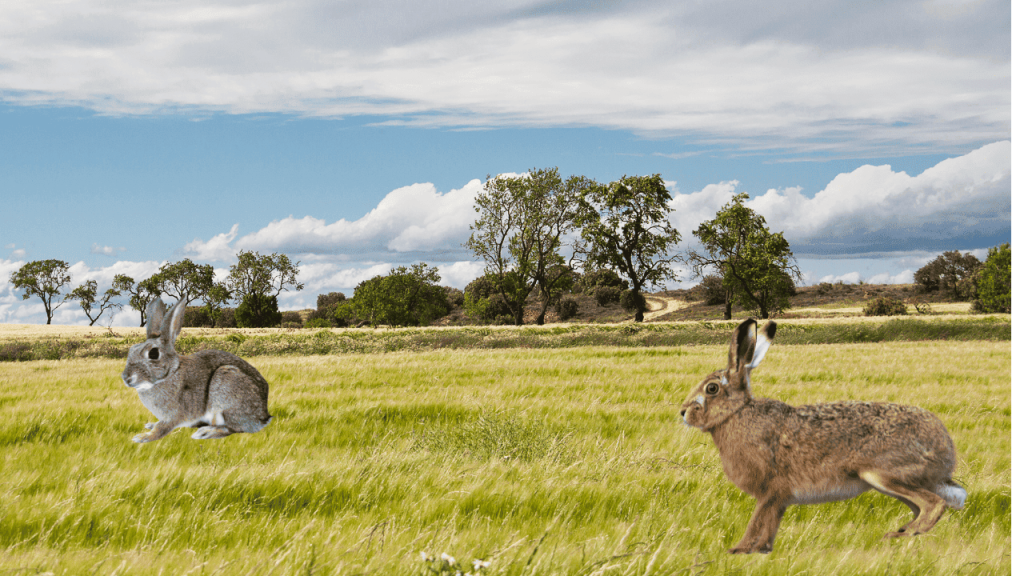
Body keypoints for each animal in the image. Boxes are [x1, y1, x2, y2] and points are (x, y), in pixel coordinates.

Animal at [121, 297, 272, 440]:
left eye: (153, 354)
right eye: (131, 349)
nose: (126, 378)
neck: (170, 374)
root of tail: (264, 414)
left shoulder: (175, 415)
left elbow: (162, 428)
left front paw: (143, 437)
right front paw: (149, 426)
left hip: (226, 391)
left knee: (234, 428)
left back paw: (206, 432)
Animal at [684, 317, 962, 553]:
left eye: (711, 389)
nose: (683, 412)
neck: (737, 413)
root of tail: (946, 449)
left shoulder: (770, 490)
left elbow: (757, 520)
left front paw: (738, 550)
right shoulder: (778, 499)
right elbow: (770, 524)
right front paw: (763, 550)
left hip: (882, 472)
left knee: (935, 503)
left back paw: (899, 535)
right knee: (926, 504)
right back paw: (903, 532)